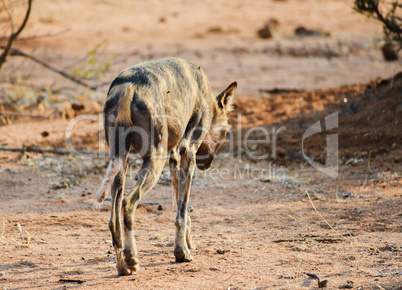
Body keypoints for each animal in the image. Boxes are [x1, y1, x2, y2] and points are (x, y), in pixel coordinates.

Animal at [97, 57, 236, 276]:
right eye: (226, 132)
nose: (208, 163)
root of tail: (129, 86)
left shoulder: (175, 158)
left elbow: (182, 209)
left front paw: (187, 243)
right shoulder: (187, 152)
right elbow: (182, 212)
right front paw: (182, 253)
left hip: (121, 162)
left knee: (114, 220)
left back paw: (123, 267)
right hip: (155, 159)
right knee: (128, 203)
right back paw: (132, 257)